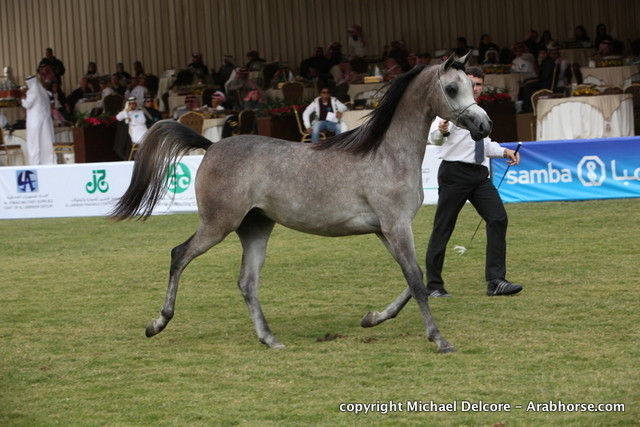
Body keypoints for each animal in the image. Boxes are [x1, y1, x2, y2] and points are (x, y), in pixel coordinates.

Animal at [111, 53, 491, 353]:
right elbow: (415, 280)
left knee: (247, 282)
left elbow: (415, 279)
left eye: (473, 87)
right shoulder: (396, 226)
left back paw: (269, 339)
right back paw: (157, 323)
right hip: (218, 225)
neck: (387, 154)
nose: (484, 125)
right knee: (179, 255)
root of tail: (212, 144)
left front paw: (372, 318)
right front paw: (439, 340)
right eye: (453, 88)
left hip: (255, 228)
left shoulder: (386, 230)